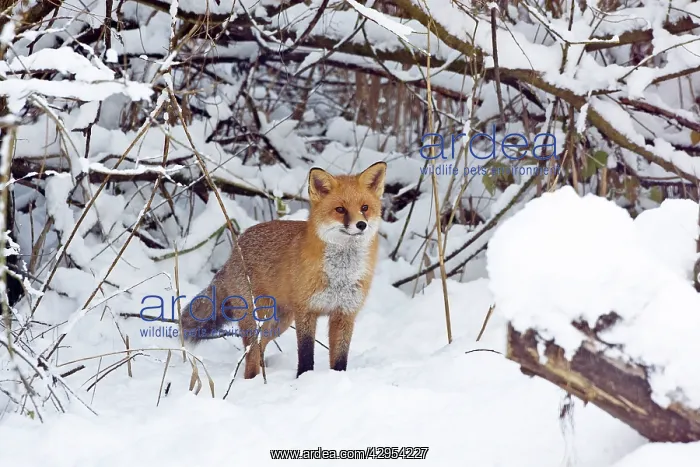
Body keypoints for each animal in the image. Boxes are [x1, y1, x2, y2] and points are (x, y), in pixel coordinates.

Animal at [180, 162, 387, 379]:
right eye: (340, 209)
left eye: (364, 208)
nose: (361, 224)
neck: (340, 275)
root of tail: (235, 249)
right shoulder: (306, 311)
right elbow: (305, 353)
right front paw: (304, 378)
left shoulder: (345, 313)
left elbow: (340, 358)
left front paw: (337, 377)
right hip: (258, 319)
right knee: (251, 354)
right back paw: (252, 380)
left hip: (278, 323)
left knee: (259, 349)